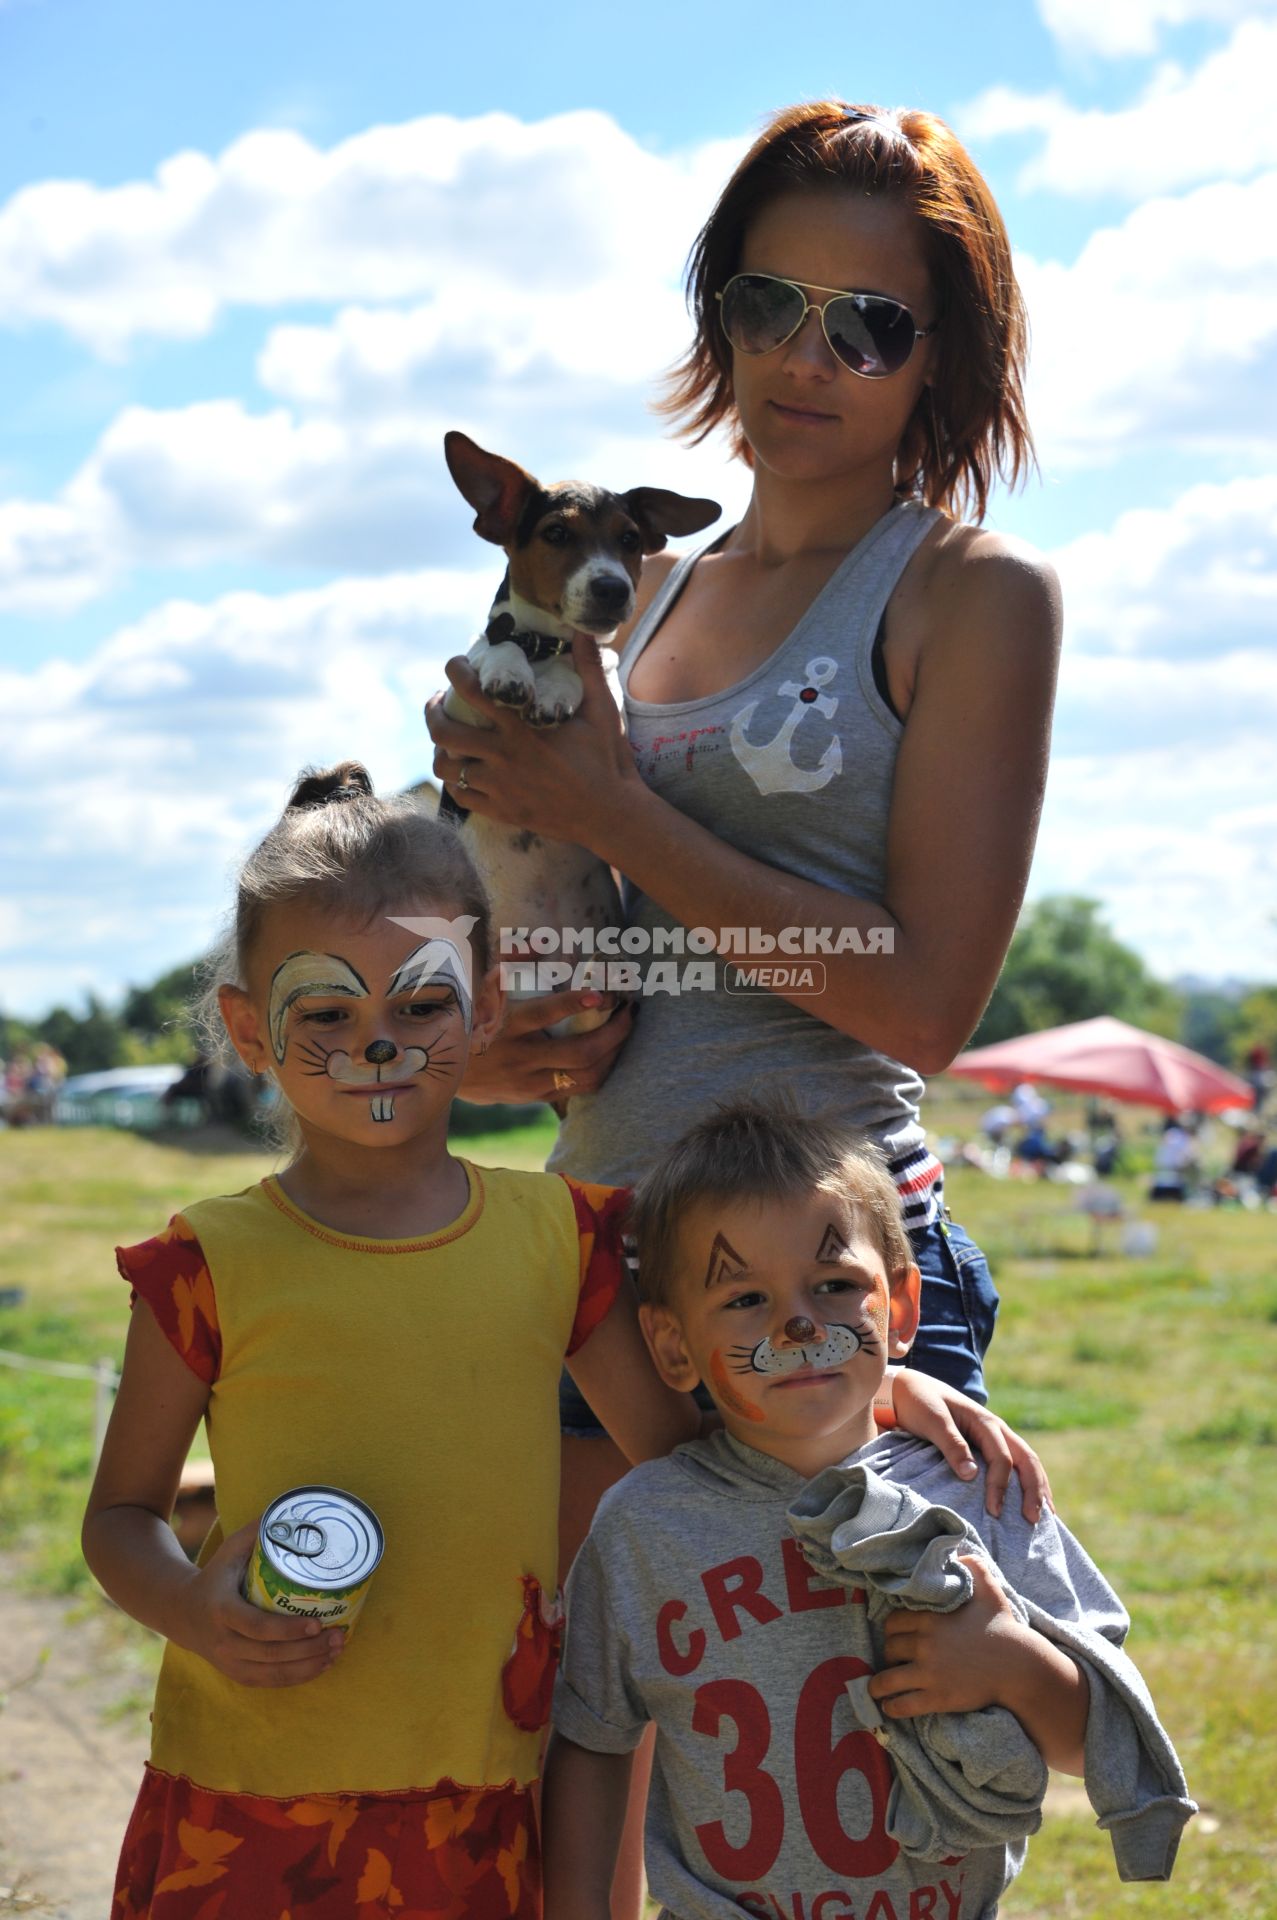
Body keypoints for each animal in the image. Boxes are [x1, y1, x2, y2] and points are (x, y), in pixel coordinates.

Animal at [435, 430, 718, 1044]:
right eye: (556, 534)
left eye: (630, 540)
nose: (612, 587)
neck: (548, 644)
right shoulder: (456, 704)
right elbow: (494, 648)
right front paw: (509, 672)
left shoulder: (610, 696)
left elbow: (589, 669)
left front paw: (556, 692)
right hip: (508, 989)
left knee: (587, 1010)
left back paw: (602, 973)